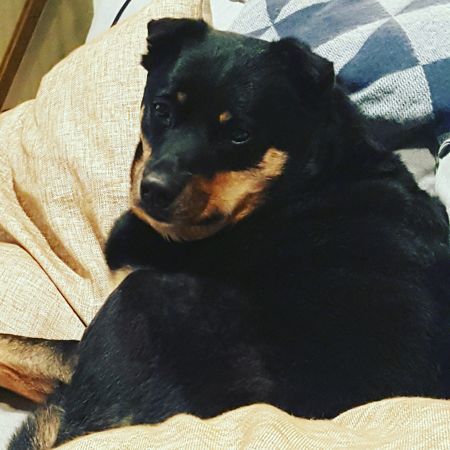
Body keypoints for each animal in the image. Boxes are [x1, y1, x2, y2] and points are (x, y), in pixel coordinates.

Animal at [3, 16, 450, 446]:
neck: (303, 181)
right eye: (162, 110)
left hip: (143, 297)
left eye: (239, 135)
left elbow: (18, 344)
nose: (154, 190)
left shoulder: (92, 337)